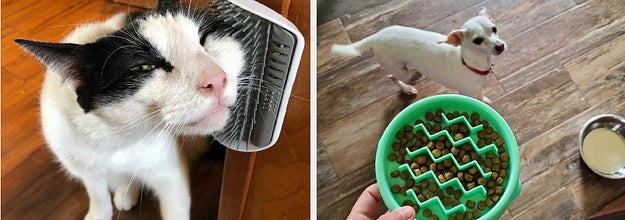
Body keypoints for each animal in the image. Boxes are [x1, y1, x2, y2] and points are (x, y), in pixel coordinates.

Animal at [14, 0, 244, 219]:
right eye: (143, 67)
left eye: (204, 40)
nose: (216, 79)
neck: (119, 138)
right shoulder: (86, 166)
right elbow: (97, 194)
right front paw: (99, 213)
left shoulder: (170, 175)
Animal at [332, 7, 502, 102]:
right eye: (477, 40)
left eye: (494, 29)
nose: (501, 46)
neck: (469, 64)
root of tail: (376, 36)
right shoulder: (466, 92)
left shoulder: (478, 88)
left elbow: (481, 95)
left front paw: (484, 99)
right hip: (400, 71)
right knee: (391, 77)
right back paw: (407, 89)